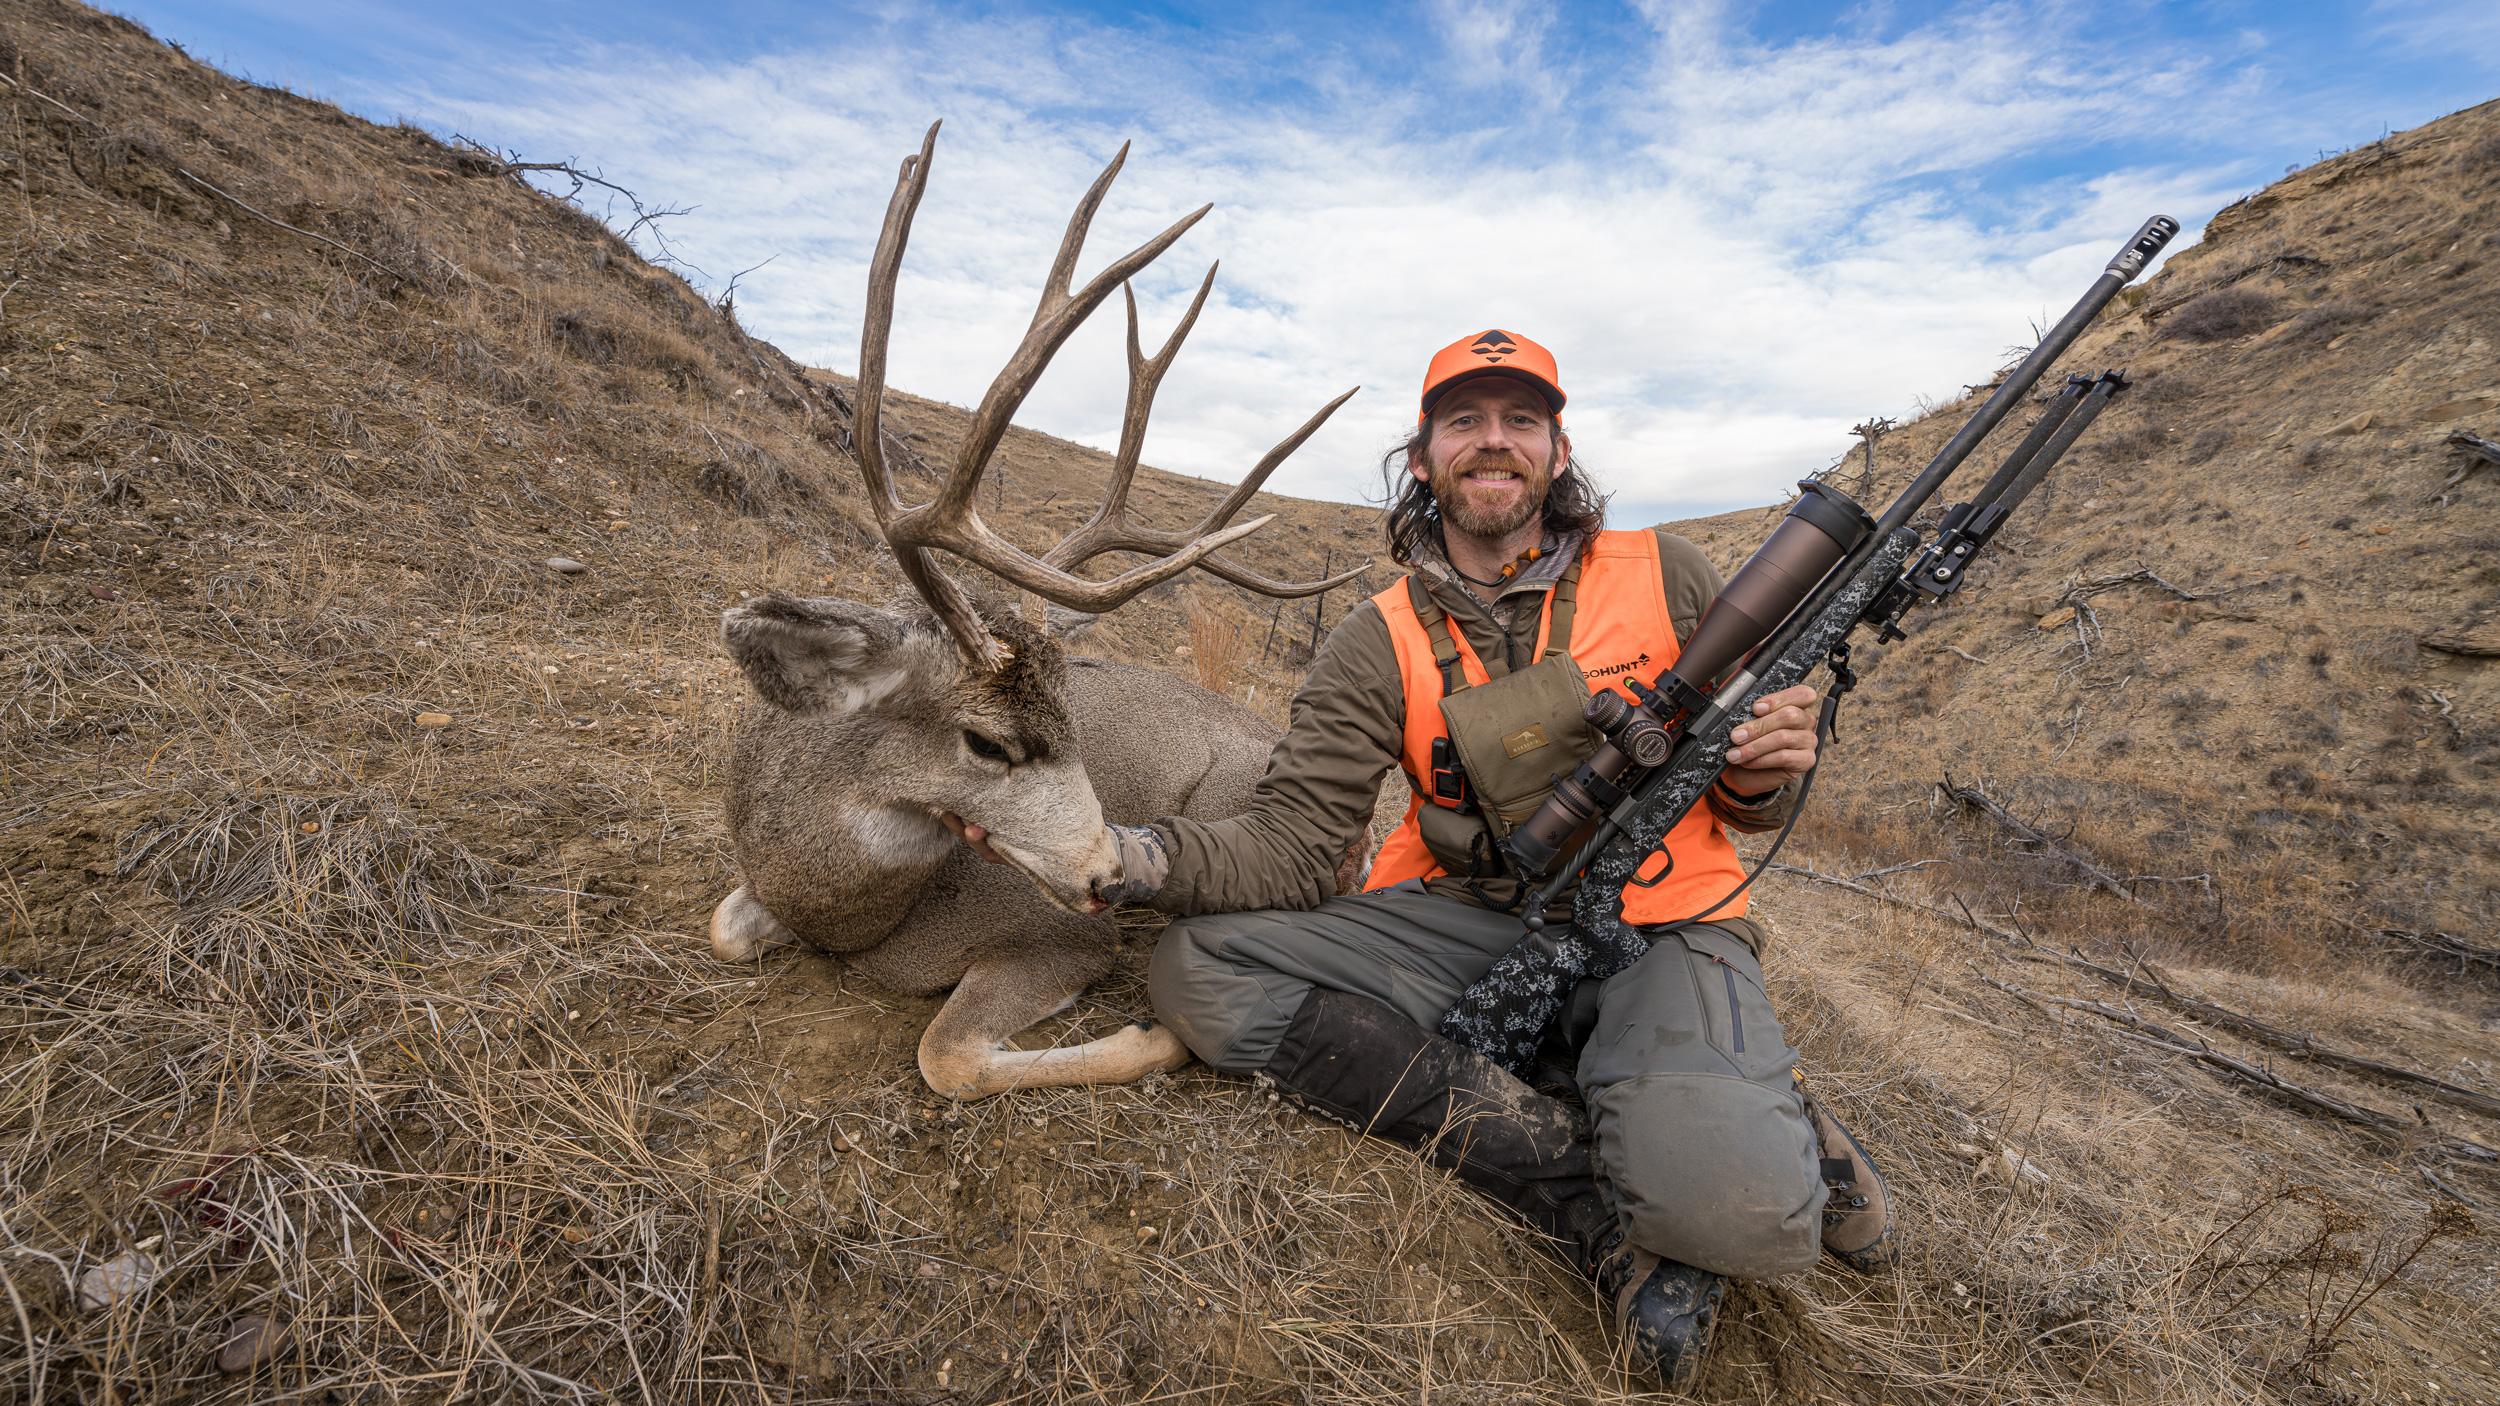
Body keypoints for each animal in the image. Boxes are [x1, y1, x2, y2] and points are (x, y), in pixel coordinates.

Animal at [709, 123, 1363, 1100]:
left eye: (1074, 723)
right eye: (989, 744)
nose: (1108, 873)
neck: (851, 914)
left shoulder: (1059, 930)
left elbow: (945, 1055)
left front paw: (1155, 1037)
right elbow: (726, 928)